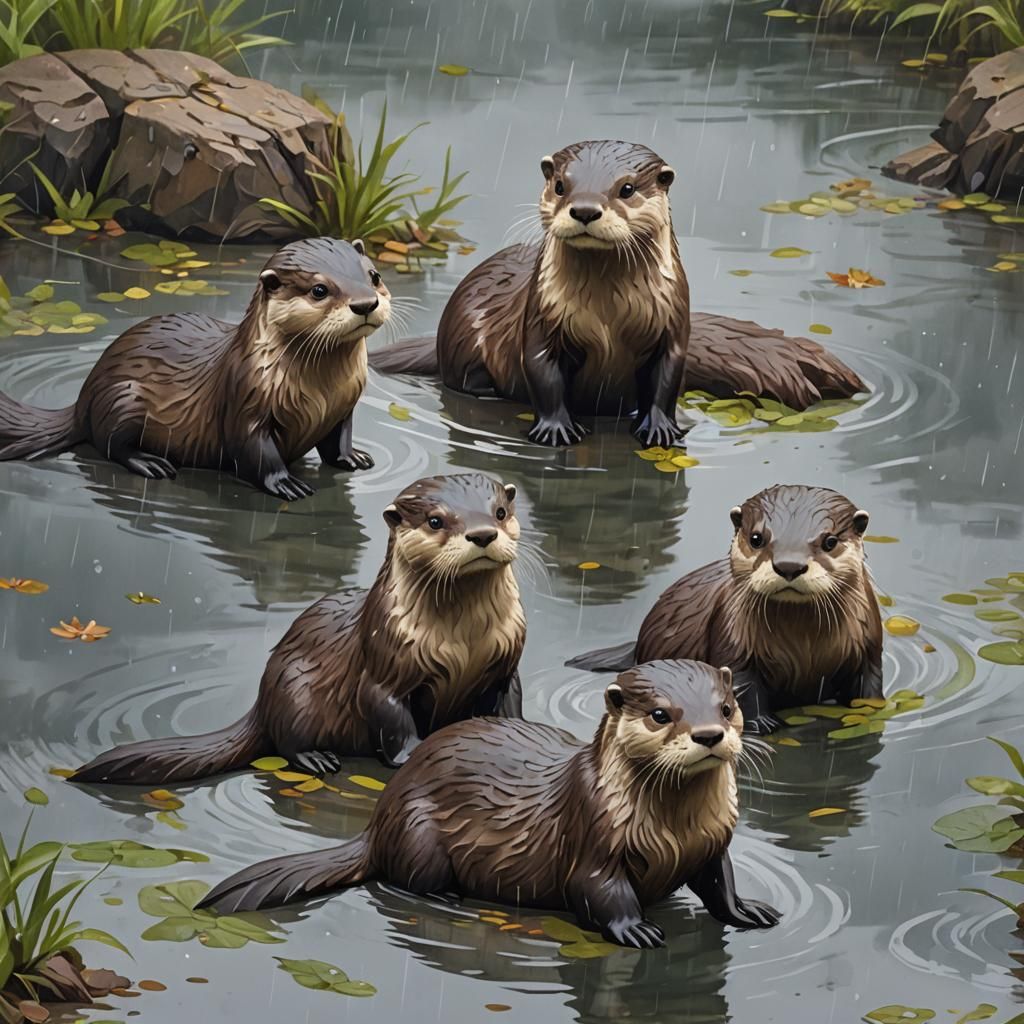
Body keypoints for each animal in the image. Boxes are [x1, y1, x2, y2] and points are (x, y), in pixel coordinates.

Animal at [0, 238, 389, 500]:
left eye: (374, 275)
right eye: (319, 290)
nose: (365, 303)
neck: (321, 394)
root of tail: (83, 396)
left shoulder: (343, 408)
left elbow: (338, 439)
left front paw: (352, 457)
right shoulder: (245, 403)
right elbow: (256, 453)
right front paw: (285, 482)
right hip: (123, 397)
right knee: (109, 443)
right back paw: (150, 462)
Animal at [71, 473, 525, 783]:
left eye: (500, 513)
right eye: (435, 521)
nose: (482, 533)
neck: (464, 643)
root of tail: (261, 700)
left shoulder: (505, 664)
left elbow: (508, 705)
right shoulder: (385, 665)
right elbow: (393, 717)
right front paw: (412, 755)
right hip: (295, 686)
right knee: (285, 739)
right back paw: (316, 758)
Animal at [197, 660, 780, 947]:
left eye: (726, 707)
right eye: (661, 714)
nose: (709, 734)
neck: (674, 832)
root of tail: (378, 820)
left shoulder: (712, 842)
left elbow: (720, 881)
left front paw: (747, 909)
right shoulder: (595, 838)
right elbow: (598, 891)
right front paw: (633, 928)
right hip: (419, 832)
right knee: (403, 880)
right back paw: (451, 899)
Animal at [369, 139, 864, 446]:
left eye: (626, 188)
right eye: (561, 185)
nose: (585, 209)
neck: (609, 320)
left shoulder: (673, 326)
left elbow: (666, 378)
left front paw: (661, 428)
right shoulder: (541, 319)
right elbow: (542, 373)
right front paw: (556, 428)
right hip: (463, 337)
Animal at [568, 485, 883, 735]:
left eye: (830, 541)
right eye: (757, 538)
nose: (789, 566)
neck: (804, 645)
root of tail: (639, 644)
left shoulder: (869, 645)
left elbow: (869, 683)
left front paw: (869, 709)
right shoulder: (732, 641)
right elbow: (742, 684)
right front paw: (760, 723)